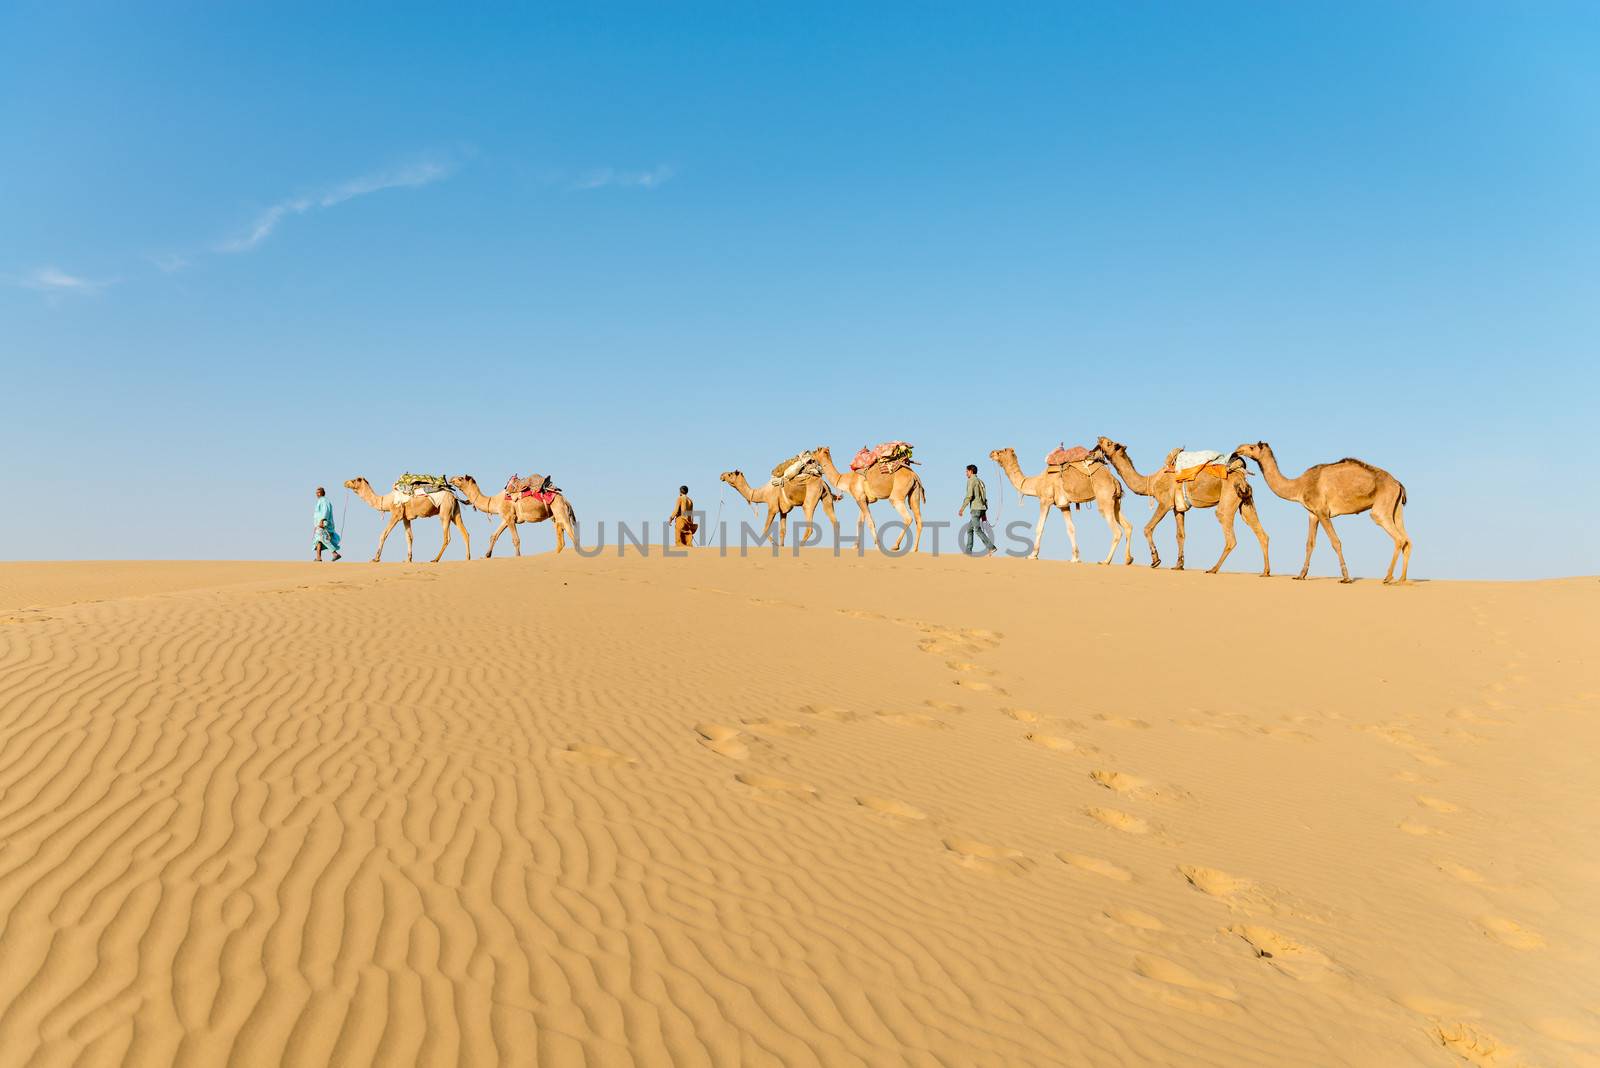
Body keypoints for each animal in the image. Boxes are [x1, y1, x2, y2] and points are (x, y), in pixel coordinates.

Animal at [451, 476, 582, 559]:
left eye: (460, 478)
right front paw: (487, 555)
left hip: (560, 510)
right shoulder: (506, 518)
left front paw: (518, 556)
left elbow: (516, 540)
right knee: (561, 540)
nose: (451, 479)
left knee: (572, 535)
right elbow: (494, 536)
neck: (495, 501)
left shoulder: (509, 517)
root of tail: (565, 500)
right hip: (555, 516)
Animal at [979, 447, 1132, 565]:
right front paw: (1075, 558)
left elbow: (1039, 528)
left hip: (1104, 500)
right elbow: (1071, 529)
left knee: (1117, 531)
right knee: (1128, 526)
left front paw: (1032, 555)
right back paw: (1128, 560)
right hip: (1115, 502)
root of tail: (1114, 480)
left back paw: (1105, 561)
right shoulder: (1063, 505)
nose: (991, 452)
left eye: (1002, 450)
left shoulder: (1045, 500)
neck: (1037, 482)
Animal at [1094, 438, 1267, 575]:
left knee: (1230, 536)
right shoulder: (1178, 508)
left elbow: (1148, 528)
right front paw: (1178, 565)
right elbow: (1180, 535)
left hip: (1227, 501)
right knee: (1262, 534)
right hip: (1246, 502)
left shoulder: (1165, 503)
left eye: (1109, 443)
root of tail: (1241, 476)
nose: (1099, 437)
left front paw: (1155, 560)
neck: (1152, 482)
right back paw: (1265, 572)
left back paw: (1213, 569)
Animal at [1222, 447, 1414, 588]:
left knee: (1398, 538)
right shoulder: (1312, 514)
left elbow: (1336, 542)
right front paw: (1300, 575)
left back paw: (1388, 578)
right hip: (1395, 508)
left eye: (1252, 447)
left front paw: (1346, 578)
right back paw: (1401, 579)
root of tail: (1398, 484)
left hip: (1380, 510)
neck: (1298, 485)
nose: (1237, 450)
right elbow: (1309, 544)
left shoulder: (1322, 512)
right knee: (1407, 539)